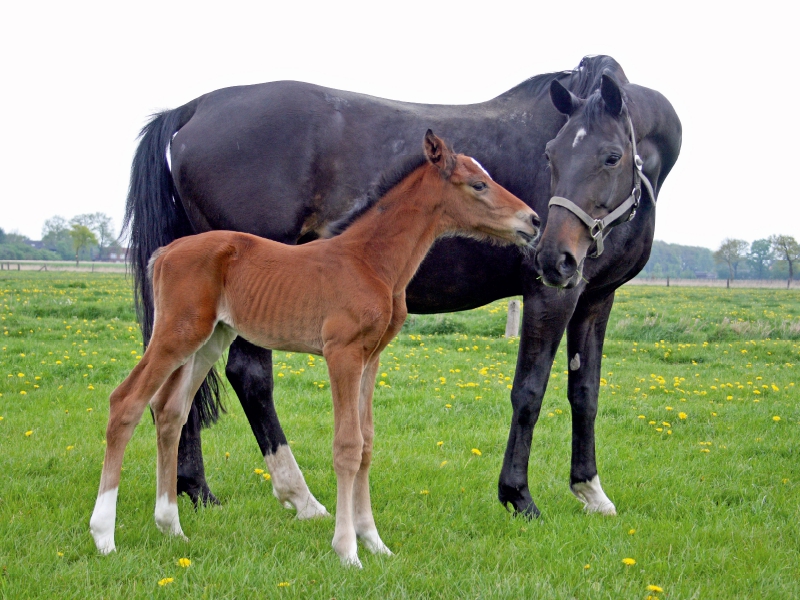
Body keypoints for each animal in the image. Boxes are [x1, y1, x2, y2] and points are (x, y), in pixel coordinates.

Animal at [90, 129, 540, 564]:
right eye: (479, 184)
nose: (533, 220)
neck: (370, 261)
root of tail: (165, 251)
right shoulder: (342, 353)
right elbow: (347, 446)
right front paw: (347, 549)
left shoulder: (371, 357)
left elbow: (367, 443)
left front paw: (374, 542)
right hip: (176, 333)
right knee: (126, 402)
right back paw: (104, 535)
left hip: (210, 339)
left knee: (170, 410)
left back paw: (171, 527)